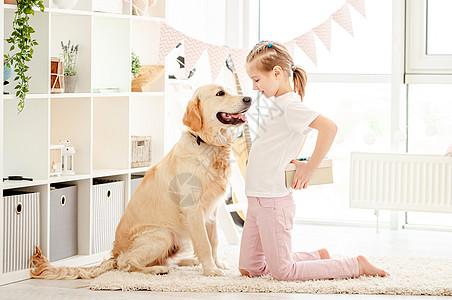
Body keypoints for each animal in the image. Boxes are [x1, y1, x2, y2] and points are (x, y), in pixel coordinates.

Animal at [30, 84, 252, 278]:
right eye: (220, 93)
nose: (249, 98)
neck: (207, 143)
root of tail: (114, 254)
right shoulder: (193, 208)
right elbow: (204, 243)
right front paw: (211, 270)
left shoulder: (213, 208)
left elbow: (214, 241)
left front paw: (217, 264)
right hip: (163, 234)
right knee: (126, 264)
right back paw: (157, 269)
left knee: (160, 259)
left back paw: (187, 261)